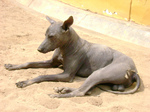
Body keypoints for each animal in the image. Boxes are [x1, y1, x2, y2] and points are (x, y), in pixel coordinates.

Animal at [4, 15, 141, 98]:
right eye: (45, 35)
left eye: (52, 36)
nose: (39, 49)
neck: (65, 48)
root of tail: (134, 71)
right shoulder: (51, 63)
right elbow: (29, 63)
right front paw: (12, 66)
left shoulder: (67, 75)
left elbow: (43, 75)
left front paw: (24, 82)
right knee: (87, 89)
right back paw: (63, 89)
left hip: (99, 73)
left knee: (81, 92)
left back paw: (59, 94)